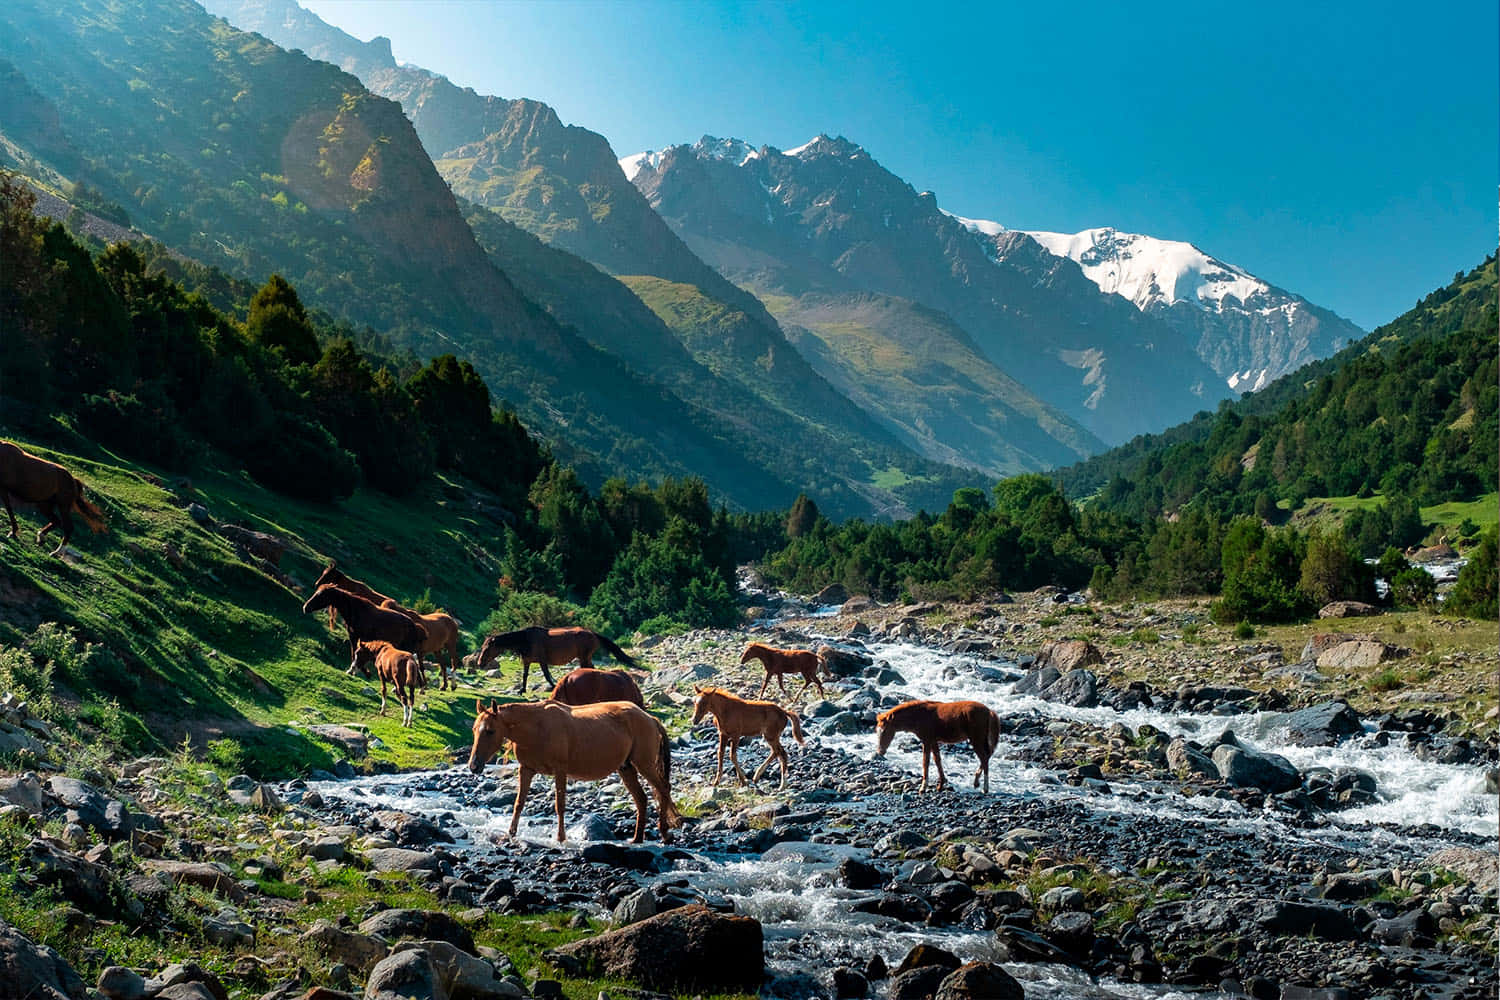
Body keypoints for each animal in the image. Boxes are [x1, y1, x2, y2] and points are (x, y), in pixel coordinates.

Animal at [467, 698, 681, 843]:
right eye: (474, 729)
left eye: (490, 731)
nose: (474, 766)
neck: (537, 727)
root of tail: (650, 718)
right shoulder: (526, 770)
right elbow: (519, 803)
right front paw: (510, 834)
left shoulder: (560, 771)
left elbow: (560, 805)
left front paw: (561, 838)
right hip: (626, 768)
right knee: (642, 799)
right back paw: (637, 838)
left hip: (644, 764)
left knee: (663, 790)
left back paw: (664, 834)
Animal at [476, 626, 637, 693]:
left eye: (487, 649)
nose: (479, 663)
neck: (526, 640)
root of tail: (593, 633)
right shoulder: (527, 661)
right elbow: (525, 675)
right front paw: (522, 690)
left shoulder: (542, 661)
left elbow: (547, 675)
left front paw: (553, 687)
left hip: (584, 657)